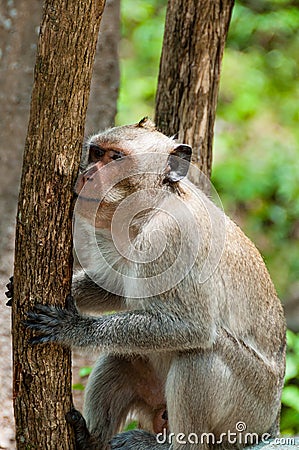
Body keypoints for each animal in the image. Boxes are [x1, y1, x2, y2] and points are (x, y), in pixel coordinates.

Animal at [22, 118, 288, 448]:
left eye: (116, 158)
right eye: (96, 153)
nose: (88, 174)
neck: (149, 209)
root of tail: (271, 425)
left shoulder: (173, 238)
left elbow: (193, 327)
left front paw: (74, 328)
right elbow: (116, 288)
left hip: (246, 413)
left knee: (199, 355)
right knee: (121, 357)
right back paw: (91, 440)